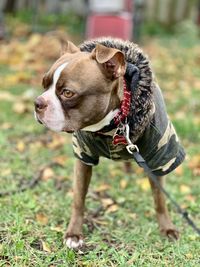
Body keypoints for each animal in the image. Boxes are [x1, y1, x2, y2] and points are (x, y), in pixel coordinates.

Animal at [34, 37, 184, 249]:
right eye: (44, 84)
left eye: (68, 93)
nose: (37, 103)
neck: (113, 126)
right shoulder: (83, 157)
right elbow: (78, 198)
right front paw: (74, 233)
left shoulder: (159, 159)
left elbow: (159, 198)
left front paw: (167, 228)